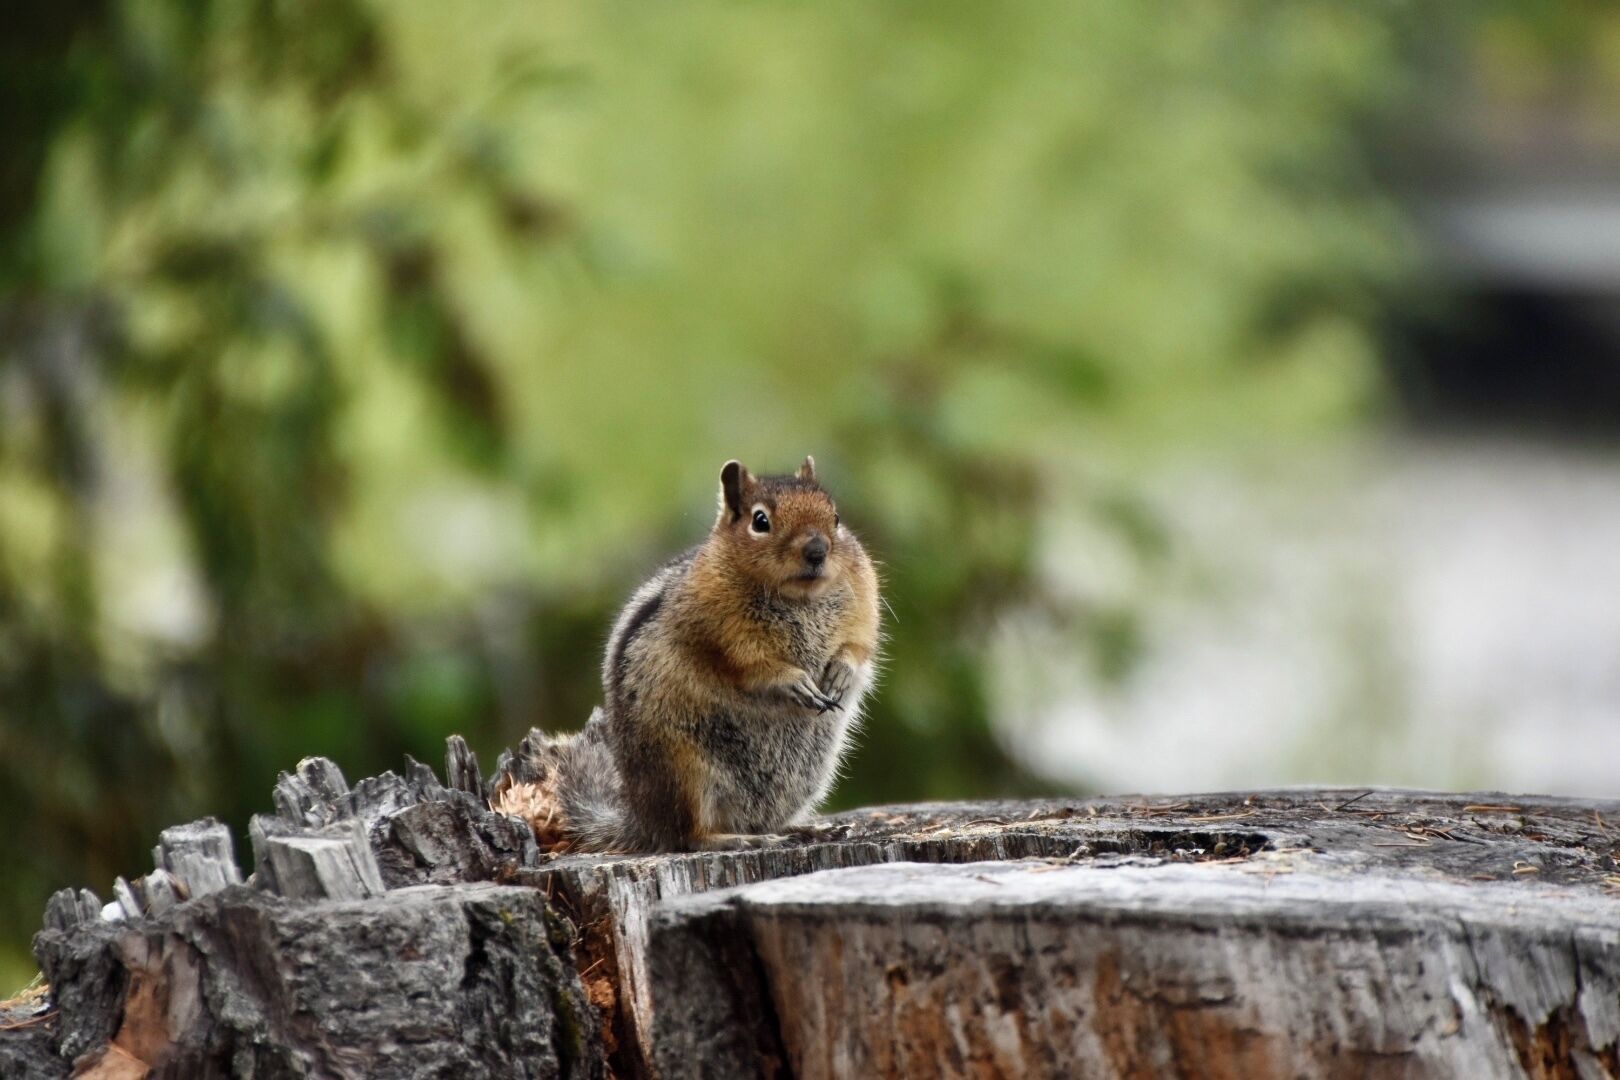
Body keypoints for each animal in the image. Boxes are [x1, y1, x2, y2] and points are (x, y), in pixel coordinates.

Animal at [493, 456, 882, 853]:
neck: (801, 598)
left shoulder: (863, 600)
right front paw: (794, 681)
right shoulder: (720, 631)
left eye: (835, 517)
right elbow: (750, 665)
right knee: (688, 836)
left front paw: (843, 671)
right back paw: (737, 839)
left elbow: (860, 642)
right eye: (760, 521)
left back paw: (804, 830)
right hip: (683, 770)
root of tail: (643, 822)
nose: (818, 550)